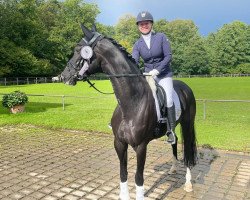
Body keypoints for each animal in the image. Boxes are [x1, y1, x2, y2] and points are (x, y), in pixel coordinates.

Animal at [60, 25, 197, 200]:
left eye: (78, 50)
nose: (64, 76)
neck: (132, 103)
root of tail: (185, 87)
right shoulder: (119, 143)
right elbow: (123, 174)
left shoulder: (141, 147)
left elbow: (138, 178)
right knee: (175, 140)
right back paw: (173, 169)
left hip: (187, 124)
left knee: (188, 150)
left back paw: (188, 183)